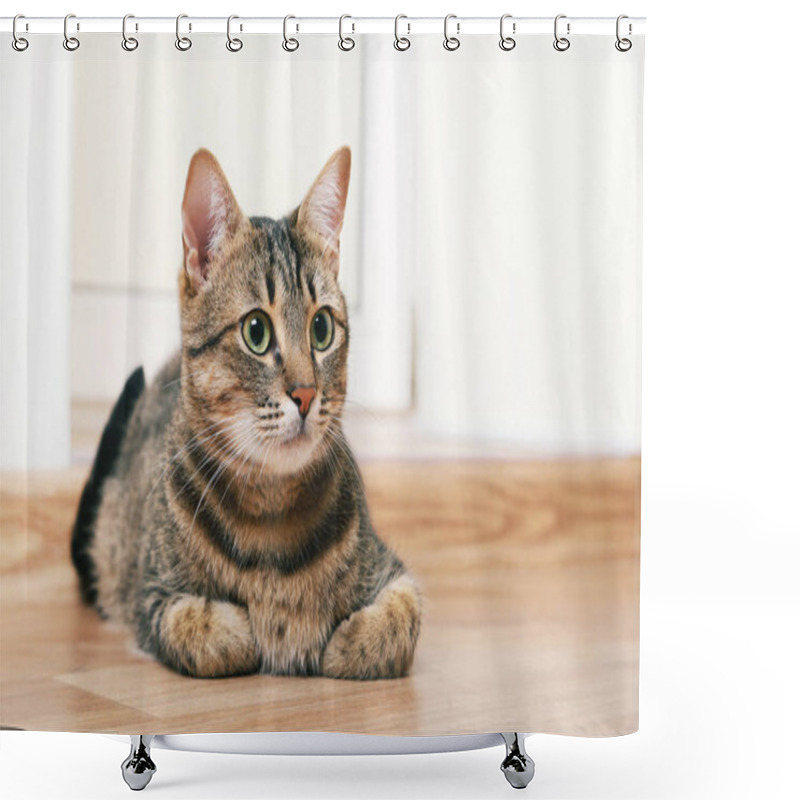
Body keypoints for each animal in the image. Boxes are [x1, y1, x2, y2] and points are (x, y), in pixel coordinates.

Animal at [69, 147, 422, 680]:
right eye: (256, 331)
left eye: (322, 328)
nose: (305, 393)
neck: (271, 509)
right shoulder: (154, 598)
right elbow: (213, 632)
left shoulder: (395, 573)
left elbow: (397, 622)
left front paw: (340, 642)